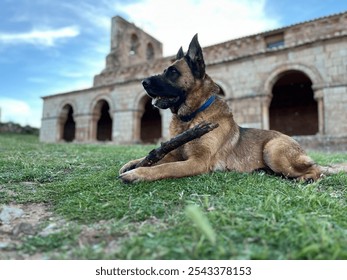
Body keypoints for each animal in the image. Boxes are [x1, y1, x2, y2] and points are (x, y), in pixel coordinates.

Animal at [119, 34, 324, 184]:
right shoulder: (175, 153)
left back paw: (306, 179)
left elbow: (165, 167)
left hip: (272, 150)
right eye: (164, 71)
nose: (143, 82)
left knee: (317, 169)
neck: (191, 116)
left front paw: (138, 173)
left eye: (173, 72)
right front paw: (132, 164)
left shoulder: (198, 161)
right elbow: (154, 157)